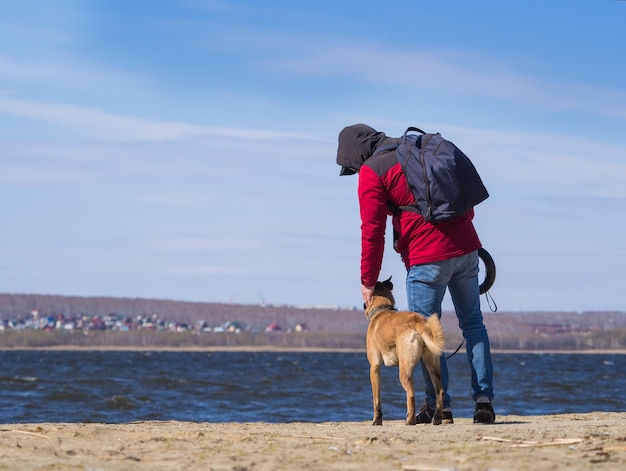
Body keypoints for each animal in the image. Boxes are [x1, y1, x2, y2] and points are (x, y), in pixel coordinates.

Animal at [364, 278, 446, 426]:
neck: (381, 309)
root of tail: (418, 322)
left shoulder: (374, 368)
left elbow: (376, 400)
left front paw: (376, 420)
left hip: (404, 370)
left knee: (411, 394)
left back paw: (410, 420)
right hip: (432, 367)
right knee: (440, 392)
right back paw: (436, 418)